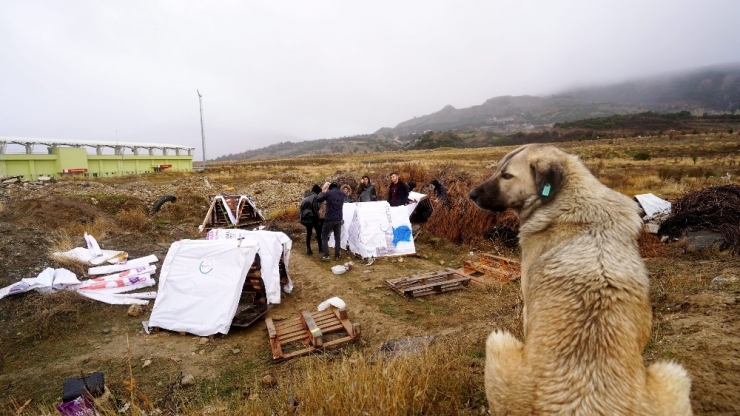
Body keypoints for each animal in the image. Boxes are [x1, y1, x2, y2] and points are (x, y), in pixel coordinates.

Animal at [472, 145, 692, 414]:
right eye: (497, 170)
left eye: (507, 176)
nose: (471, 195)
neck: (569, 198)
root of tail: (584, 403)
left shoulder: (526, 309)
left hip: (496, 341)